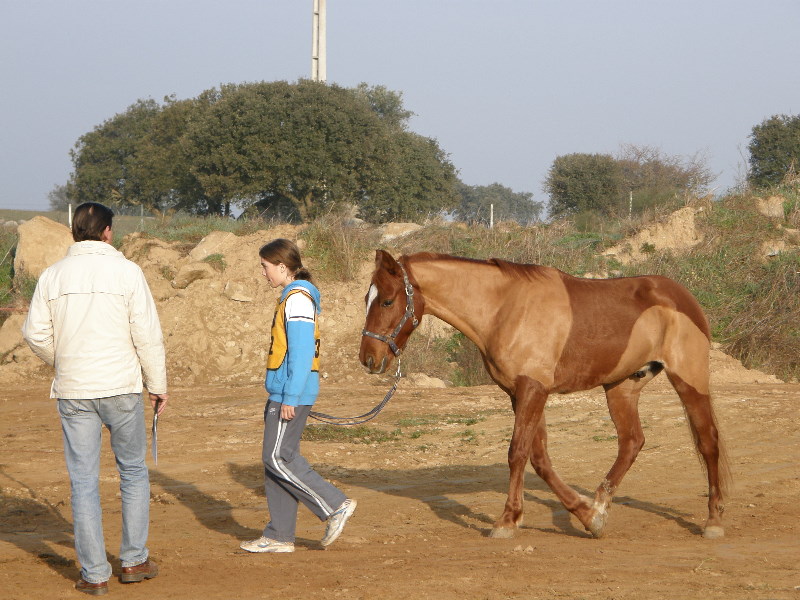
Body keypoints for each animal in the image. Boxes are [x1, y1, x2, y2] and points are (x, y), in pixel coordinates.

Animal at [360, 251, 728, 540]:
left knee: (708, 442)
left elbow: (517, 453)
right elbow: (539, 458)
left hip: (689, 381)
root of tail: (681, 297)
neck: (504, 308)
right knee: (632, 442)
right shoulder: (519, 393)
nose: (368, 359)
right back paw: (600, 505)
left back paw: (714, 520)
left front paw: (506, 521)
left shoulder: (532, 389)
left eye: (388, 300)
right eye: (367, 299)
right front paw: (587, 516)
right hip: (622, 387)